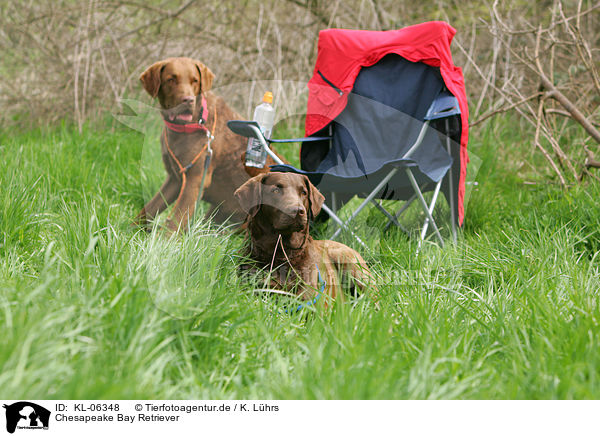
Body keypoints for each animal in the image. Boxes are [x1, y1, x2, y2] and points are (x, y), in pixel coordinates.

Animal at [135, 57, 278, 232]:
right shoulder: (175, 179)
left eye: (195, 80)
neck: (189, 126)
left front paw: (162, 239)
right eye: (171, 79)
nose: (188, 100)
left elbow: (175, 220)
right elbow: (150, 208)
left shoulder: (195, 179)